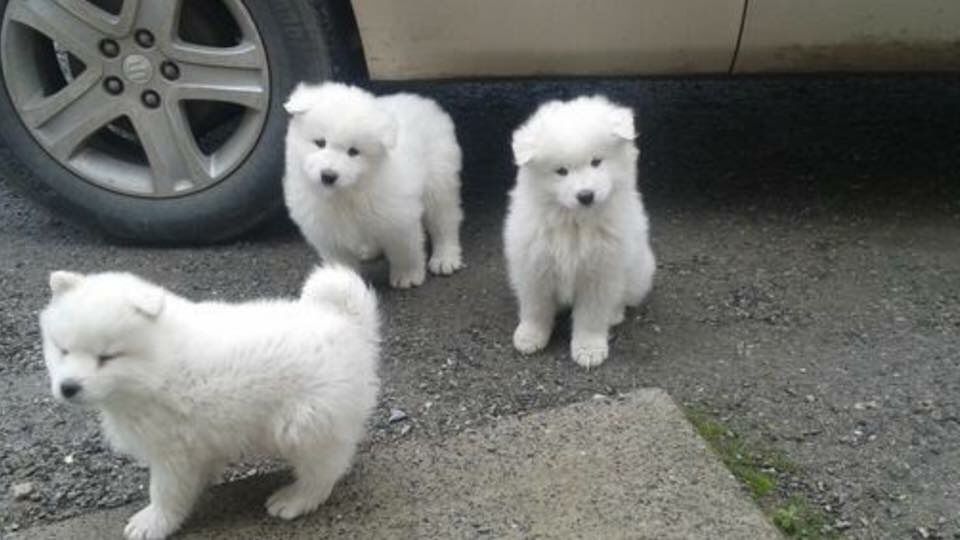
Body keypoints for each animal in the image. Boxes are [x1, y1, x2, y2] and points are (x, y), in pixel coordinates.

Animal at [38, 266, 382, 540]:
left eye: (107, 357)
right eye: (63, 349)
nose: (68, 387)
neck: (158, 364)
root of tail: (346, 323)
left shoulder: (172, 450)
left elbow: (164, 491)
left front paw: (153, 522)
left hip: (306, 423)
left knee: (323, 469)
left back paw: (295, 499)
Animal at [282, 80, 464, 288]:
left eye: (353, 152)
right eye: (320, 143)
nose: (328, 176)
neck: (349, 192)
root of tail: (425, 102)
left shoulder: (400, 220)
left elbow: (405, 251)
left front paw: (407, 276)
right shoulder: (330, 234)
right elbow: (341, 264)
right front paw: (343, 284)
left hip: (439, 183)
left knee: (444, 222)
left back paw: (445, 258)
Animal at [506, 95, 656, 370]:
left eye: (596, 162)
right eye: (561, 171)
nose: (586, 195)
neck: (574, 222)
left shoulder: (600, 273)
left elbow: (591, 315)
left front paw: (589, 349)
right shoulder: (534, 266)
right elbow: (536, 307)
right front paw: (530, 336)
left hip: (637, 273)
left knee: (621, 299)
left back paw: (614, 315)